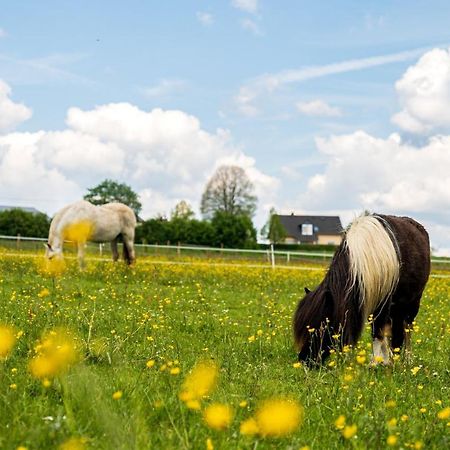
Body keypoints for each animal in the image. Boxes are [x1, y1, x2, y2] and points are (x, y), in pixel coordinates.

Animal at [294, 214, 430, 366]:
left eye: (320, 327)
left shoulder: (383, 302)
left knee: (407, 328)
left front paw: (374, 363)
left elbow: (377, 331)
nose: (304, 360)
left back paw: (406, 359)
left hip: (412, 302)